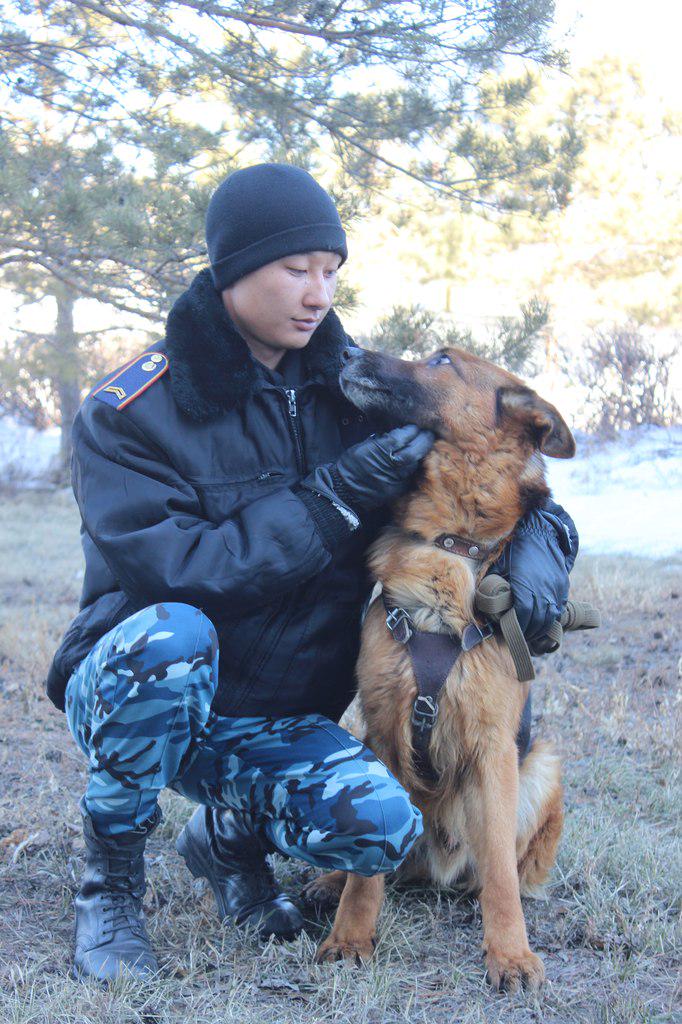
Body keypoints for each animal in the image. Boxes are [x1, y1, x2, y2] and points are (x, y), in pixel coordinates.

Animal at [304, 343, 576, 992]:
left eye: (441, 361)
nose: (347, 350)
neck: (449, 543)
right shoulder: (380, 731)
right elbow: (367, 872)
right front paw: (351, 936)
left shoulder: (492, 748)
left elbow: (500, 868)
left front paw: (509, 953)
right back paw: (329, 883)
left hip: (541, 766)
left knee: (501, 870)